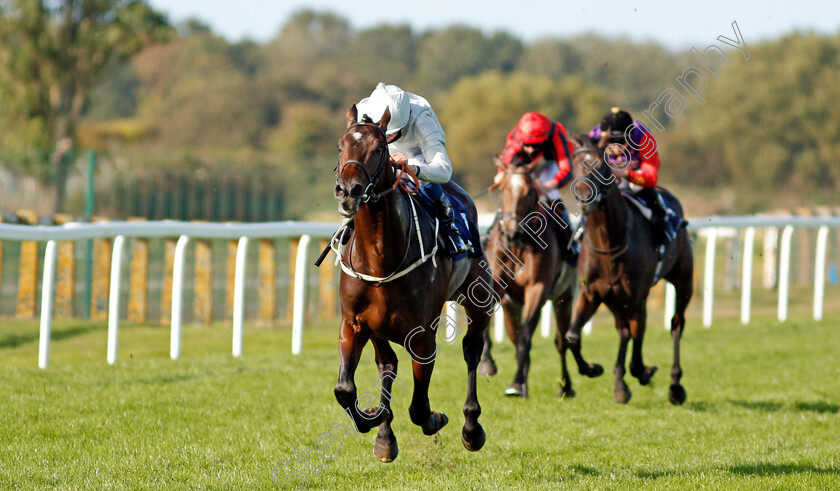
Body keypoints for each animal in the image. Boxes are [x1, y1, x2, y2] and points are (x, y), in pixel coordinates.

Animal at [332, 105, 492, 464]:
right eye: (340, 146)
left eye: (379, 149)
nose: (348, 190)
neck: (381, 258)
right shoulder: (354, 324)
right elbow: (345, 390)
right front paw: (374, 418)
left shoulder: (422, 337)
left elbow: (419, 409)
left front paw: (436, 418)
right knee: (387, 364)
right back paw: (384, 437)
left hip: (480, 298)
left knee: (472, 351)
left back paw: (472, 428)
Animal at [476, 158, 608, 400]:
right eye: (502, 189)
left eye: (529, 192)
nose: (511, 233)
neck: (518, 246)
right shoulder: (496, 286)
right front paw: (488, 364)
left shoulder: (537, 288)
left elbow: (527, 336)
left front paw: (516, 382)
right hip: (512, 307)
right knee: (516, 337)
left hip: (564, 298)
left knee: (560, 341)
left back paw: (566, 385)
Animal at [560, 134, 692, 404]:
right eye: (576, 165)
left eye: (601, 166)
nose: (583, 197)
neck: (608, 243)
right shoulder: (591, 293)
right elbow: (572, 337)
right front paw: (592, 369)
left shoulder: (636, 297)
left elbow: (637, 337)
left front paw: (642, 372)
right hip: (614, 299)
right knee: (623, 331)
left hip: (684, 281)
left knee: (675, 324)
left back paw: (675, 385)